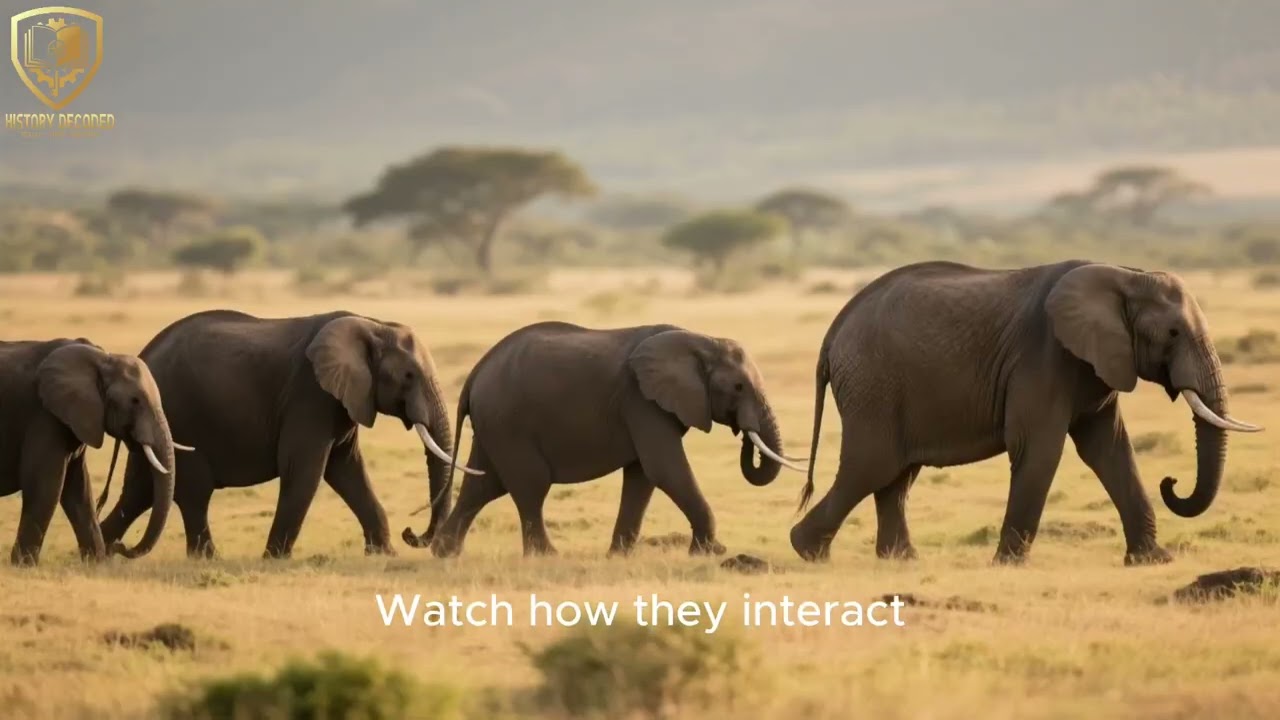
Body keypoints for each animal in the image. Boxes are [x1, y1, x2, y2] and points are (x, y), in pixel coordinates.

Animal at [0, 338, 176, 566]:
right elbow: (46, 485)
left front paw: (96, 564)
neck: (102, 359)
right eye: (135, 401)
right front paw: (24, 565)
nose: (120, 545)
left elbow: (79, 490)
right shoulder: (44, 416)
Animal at [97, 310, 480, 559]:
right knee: (192, 492)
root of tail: (144, 353)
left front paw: (383, 555)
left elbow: (347, 470)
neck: (373, 324)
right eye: (409, 376)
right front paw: (274, 559)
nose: (410, 533)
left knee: (141, 491)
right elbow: (304, 469)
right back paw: (204, 559)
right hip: (182, 416)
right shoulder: (309, 394)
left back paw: (102, 551)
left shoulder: (341, 401)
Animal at [416, 321, 806, 558]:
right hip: (509, 422)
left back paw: (445, 553)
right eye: (738, 387)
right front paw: (712, 552)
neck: (700, 339)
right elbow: (665, 468)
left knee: (485, 485)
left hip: (495, 424)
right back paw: (547, 556)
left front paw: (619, 555)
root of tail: (475, 373)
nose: (743, 433)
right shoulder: (641, 401)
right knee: (529, 485)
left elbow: (642, 476)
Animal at [791, 260, 1262, 566]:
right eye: (1173, 333)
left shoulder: (1095, 364)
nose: (1172, 482)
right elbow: (1039, 448)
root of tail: (834, 331)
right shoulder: (1044, 355)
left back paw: (900, 560)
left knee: (895, 473)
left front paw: (1153, 561)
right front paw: (1008, 564)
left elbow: (1108, 449)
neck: (1126, 275)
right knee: (872, 465)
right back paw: (808, 551)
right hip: (874, 384)